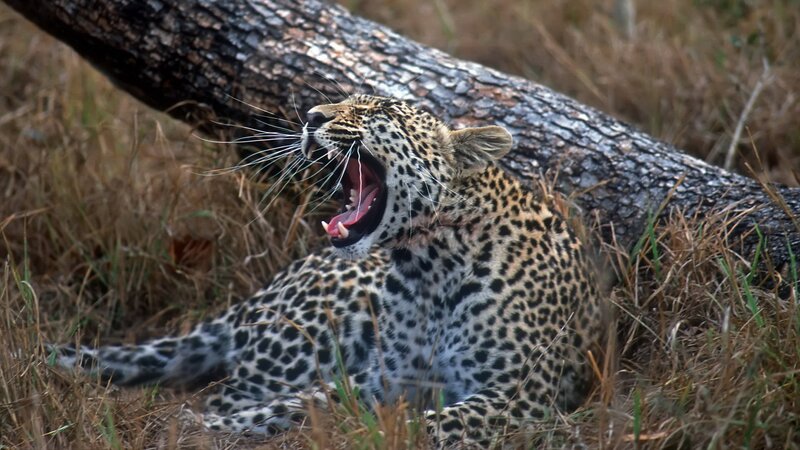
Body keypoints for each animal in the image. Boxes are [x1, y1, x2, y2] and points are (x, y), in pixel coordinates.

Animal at [51, 94, 601, 447]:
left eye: (378, 111)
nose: (311, 116)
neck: (429, 268)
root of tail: (262, 292)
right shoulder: (387, 377)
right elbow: (304, 403)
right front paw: (204, 428)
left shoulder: (520, 397)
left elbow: (425, 427)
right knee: (237, 391)